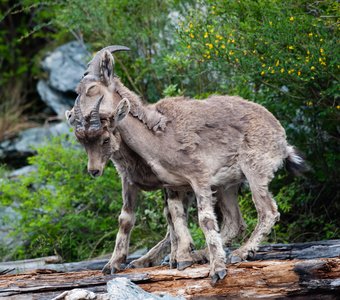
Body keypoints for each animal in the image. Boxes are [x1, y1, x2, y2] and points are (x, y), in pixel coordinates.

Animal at [67, 45, 306, 282]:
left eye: (91, 89)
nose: (73, 117)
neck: (158, 136)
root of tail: (282, 140)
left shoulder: (199, 177)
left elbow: (204, 219)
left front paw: (216, 269)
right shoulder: (170, 184)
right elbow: (167, 216)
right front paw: (176, 259)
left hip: (255, 171)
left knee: (268, 212)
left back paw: (239, 252)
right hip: (227, 185)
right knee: (234, 221)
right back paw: (196, 254)